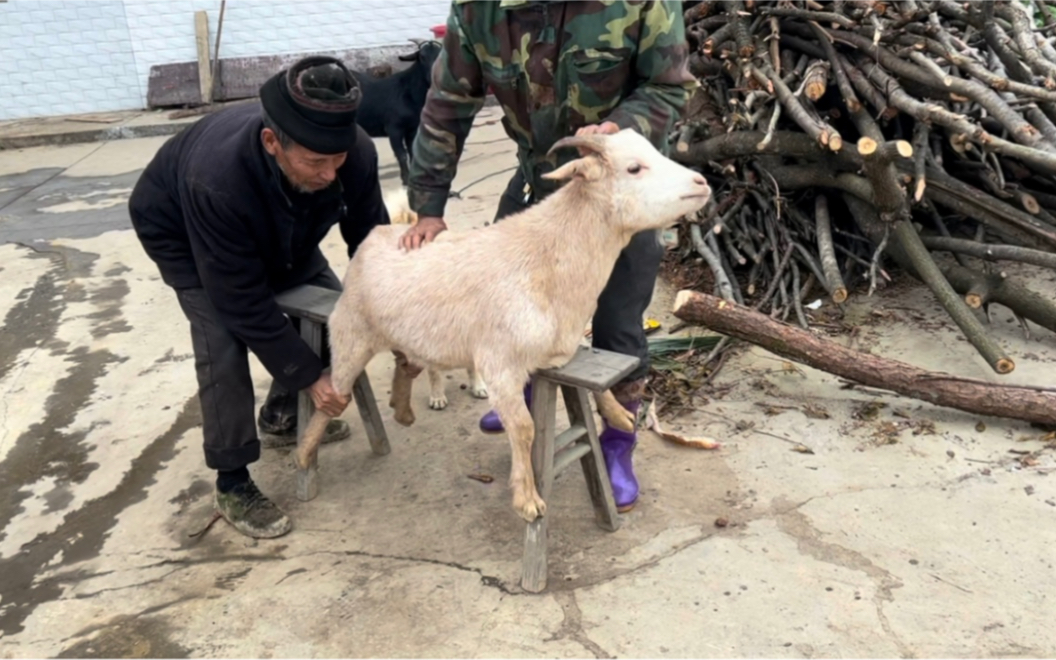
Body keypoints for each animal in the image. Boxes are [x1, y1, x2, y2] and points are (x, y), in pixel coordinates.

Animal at [297, 128, 709, 519]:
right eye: (634, 168)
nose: (702, 182)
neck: (549, 261)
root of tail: (379, 234)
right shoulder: (501, 364)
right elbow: (525, 429)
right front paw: (527, 500)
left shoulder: (561, 350)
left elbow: (594, 384)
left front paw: (620, 415)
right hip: (350, 335)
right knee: (335, 394)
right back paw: (304, 455)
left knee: (406, 365)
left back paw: (402, 410)